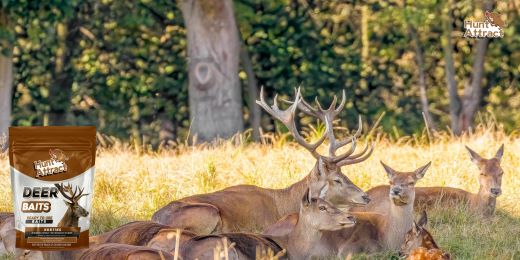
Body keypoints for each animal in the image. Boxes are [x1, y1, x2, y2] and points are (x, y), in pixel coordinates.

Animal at [151, 88, 374, 235]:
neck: (286, 204)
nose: (366, 197)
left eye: (345, 175)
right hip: (207, 212)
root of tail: (155, 219)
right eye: (337, 179)